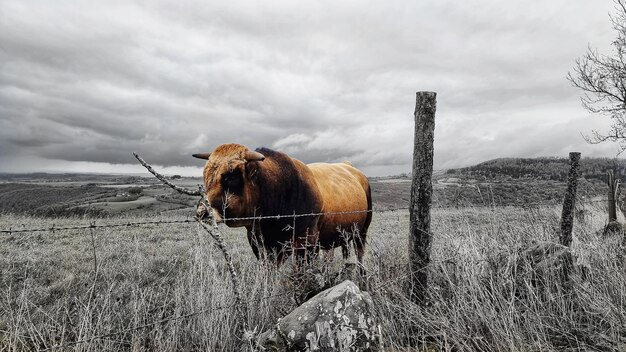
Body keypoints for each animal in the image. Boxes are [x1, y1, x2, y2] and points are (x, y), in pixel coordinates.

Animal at [193, 142, 370, 266]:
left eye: (231, 177)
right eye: (205, 176)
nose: (202, 212)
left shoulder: (307, 244)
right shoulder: (261, 245)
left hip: (361, 232)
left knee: (360, 254)